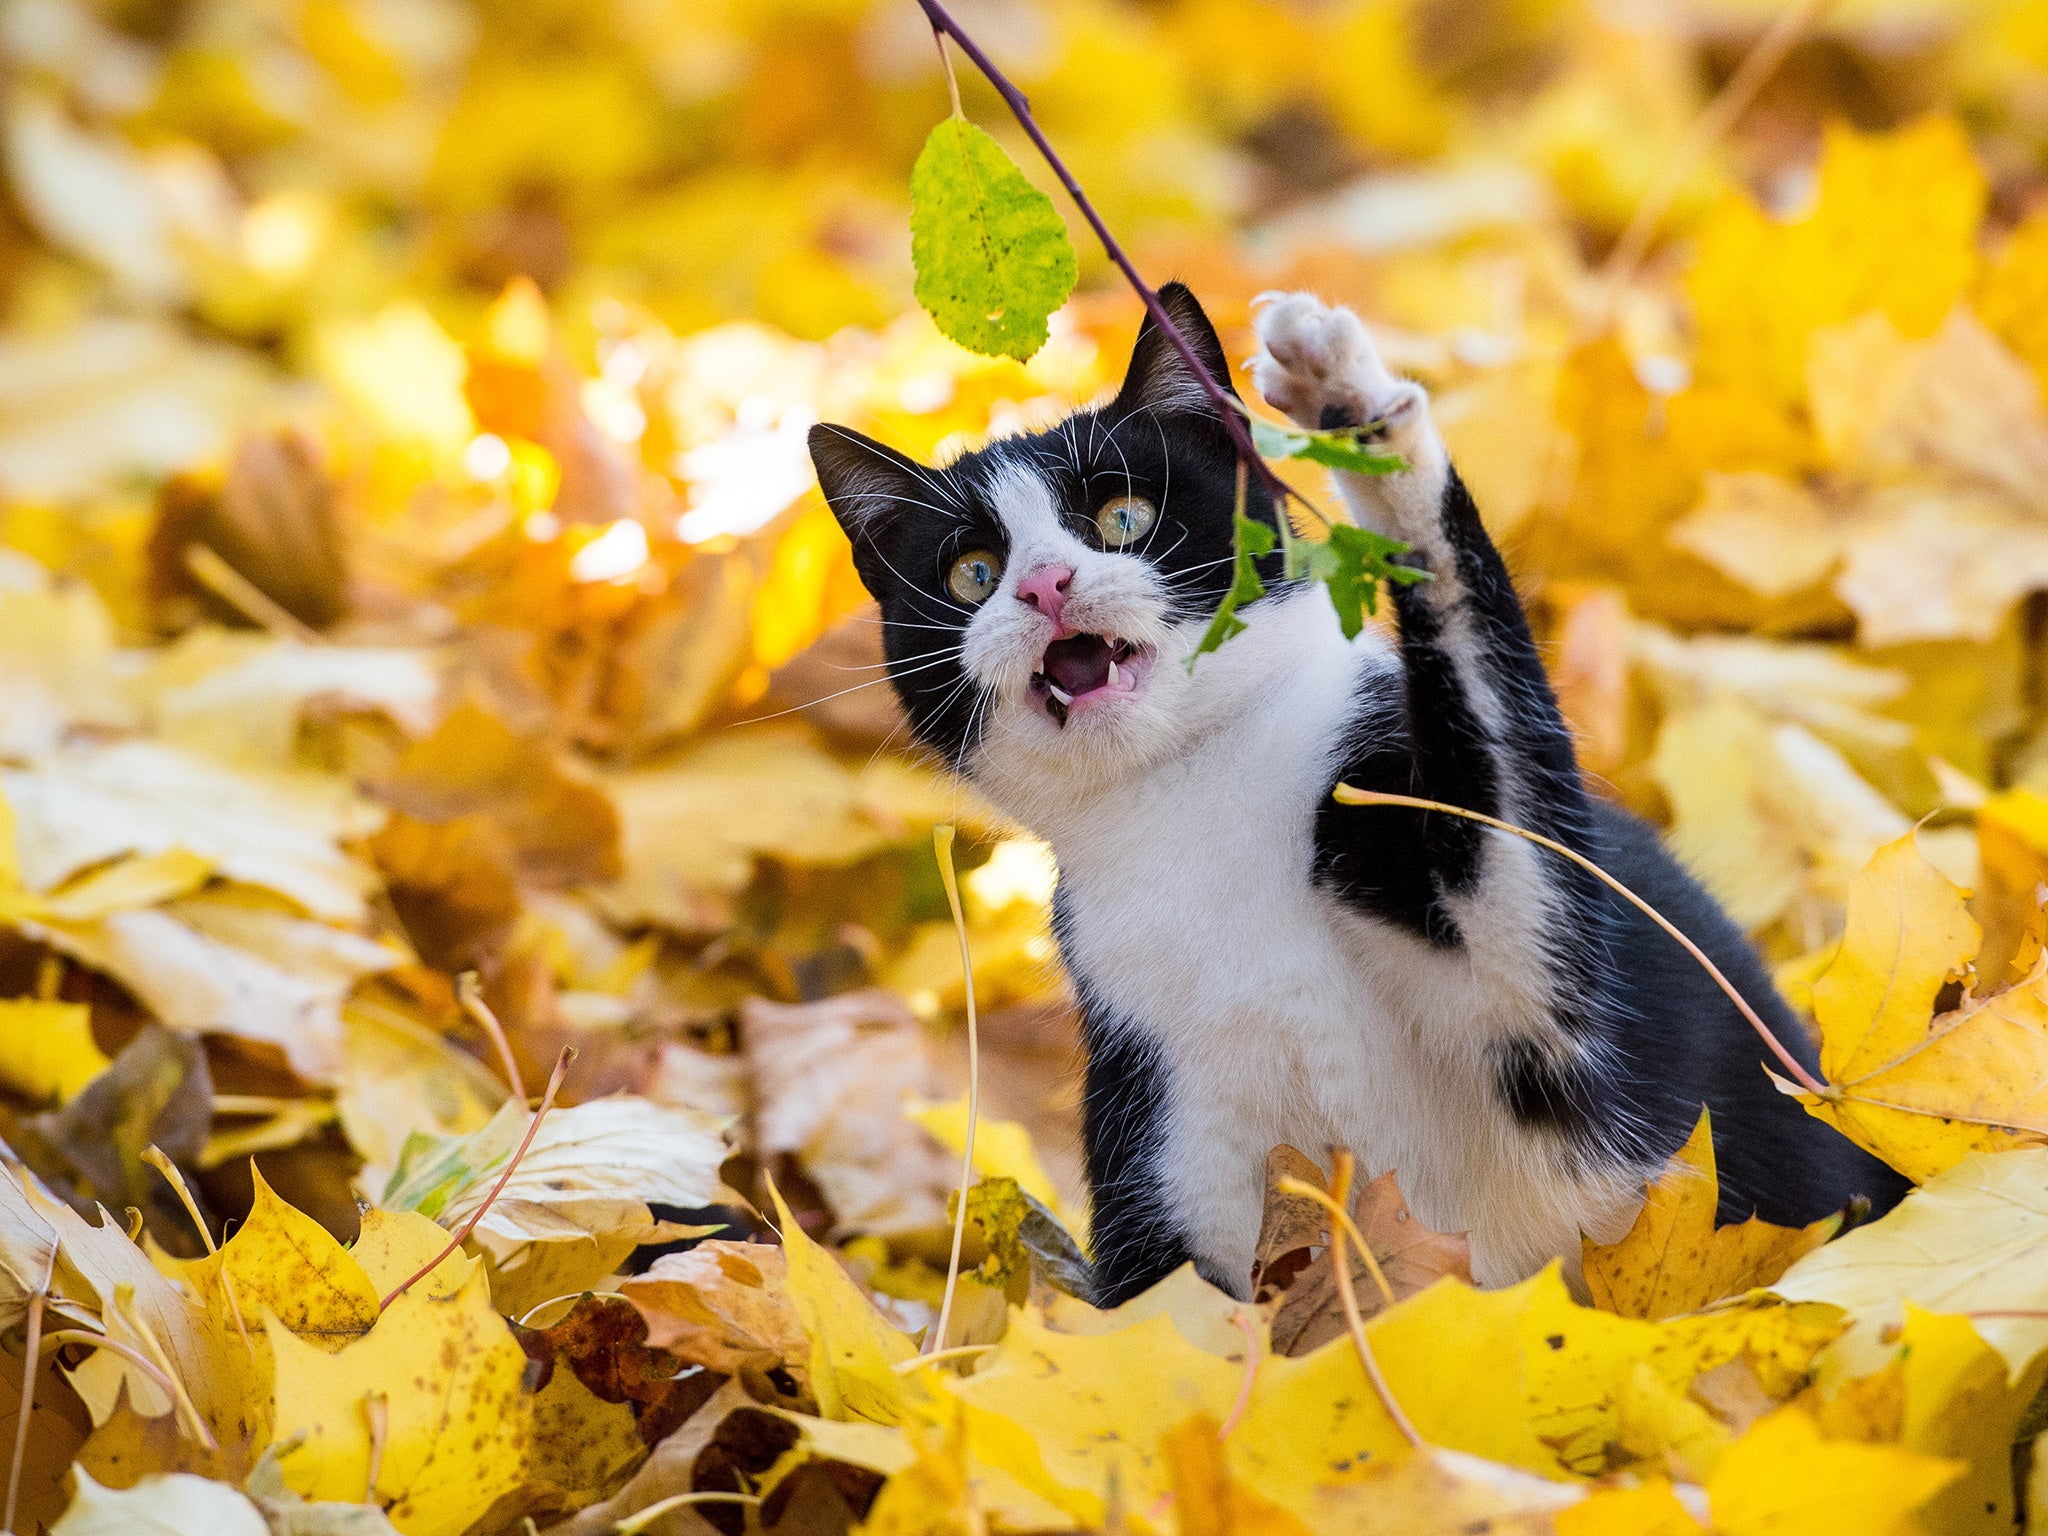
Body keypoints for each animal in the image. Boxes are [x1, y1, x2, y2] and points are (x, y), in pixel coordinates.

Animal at [802, 286, 1900, 1310]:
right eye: (971, 571)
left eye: (1122, 517)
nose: (1043, 586)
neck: (1185, 808)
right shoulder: (1158, 1115)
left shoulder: (1543, 992)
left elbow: (1488, 726)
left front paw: (1353, 409)